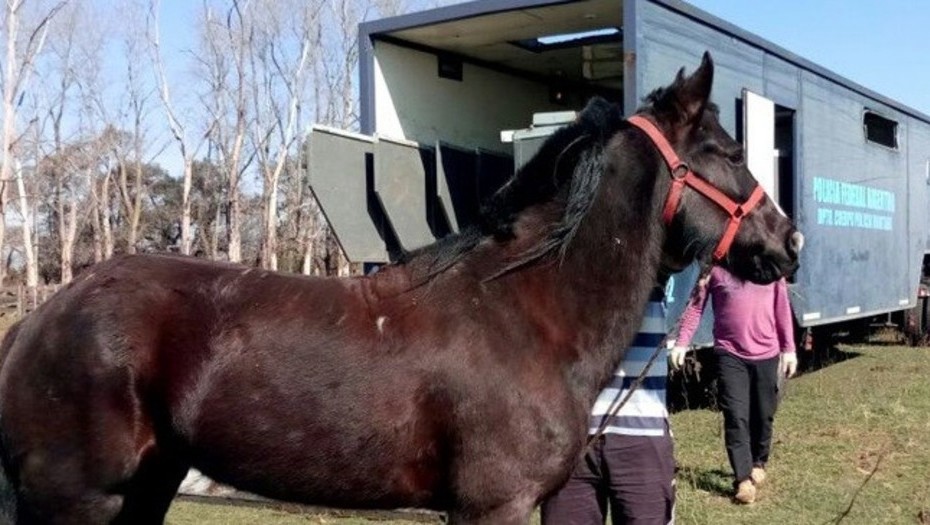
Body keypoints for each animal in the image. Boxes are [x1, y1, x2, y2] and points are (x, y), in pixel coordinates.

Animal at [0, 52, 801, 524]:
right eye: (728, 151)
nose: (787, 244)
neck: (524, 313)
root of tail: (36, 323)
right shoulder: (493, 508)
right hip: (82, 502)